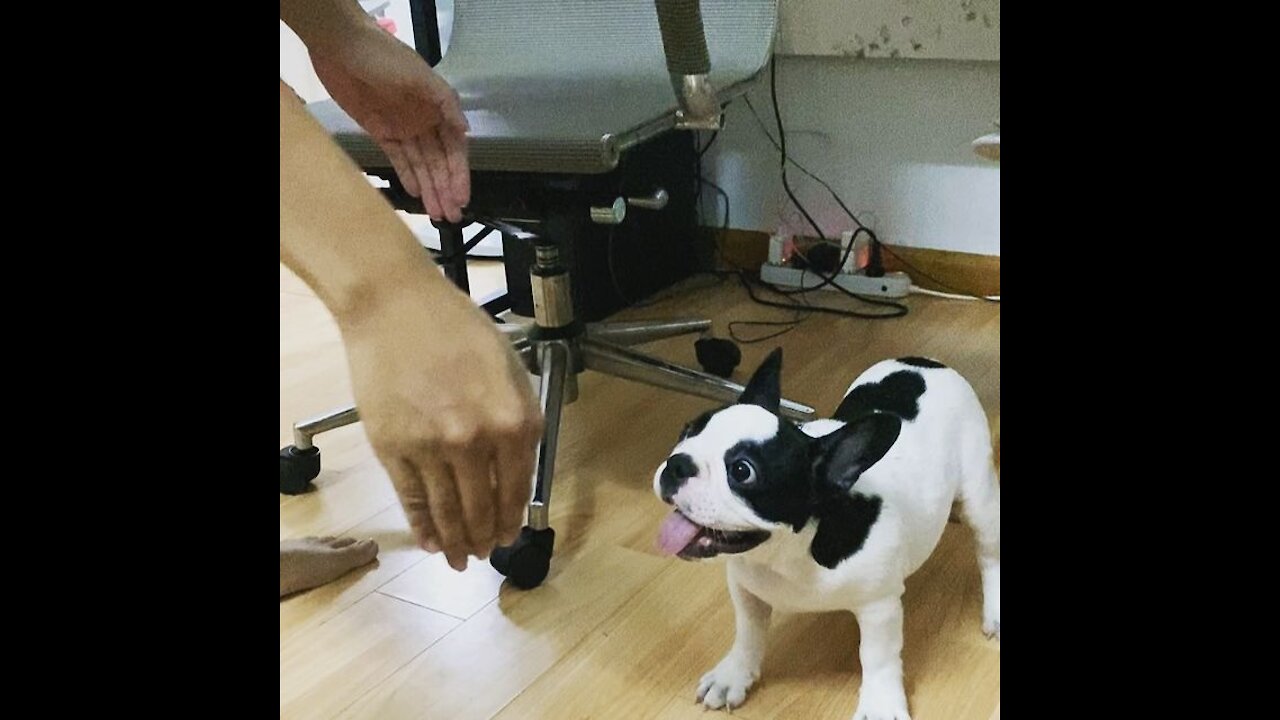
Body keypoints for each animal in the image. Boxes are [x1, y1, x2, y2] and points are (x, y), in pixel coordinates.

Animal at [650, 345, 998, 712]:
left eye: (742, 471)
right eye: (686, 431)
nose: (678, 464)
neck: (788, 552)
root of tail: (927, 362)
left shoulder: (879, 606)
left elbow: (878, 657)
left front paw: (880, 704)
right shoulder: (746, 589)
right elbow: (748, 632)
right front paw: (734, 674)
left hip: (979, 495)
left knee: (989, 553)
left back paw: (994, 609)